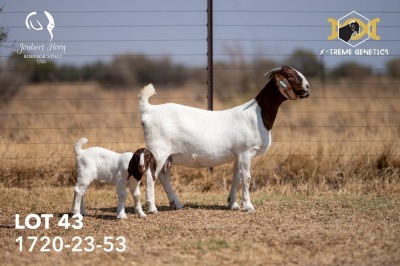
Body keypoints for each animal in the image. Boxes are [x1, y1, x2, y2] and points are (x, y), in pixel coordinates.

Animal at [139, 66, 310, 212]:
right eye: (289, 75)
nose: (307, 88)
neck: (257, 114)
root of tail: (149, 110)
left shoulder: (238, 154)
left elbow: (236, 178)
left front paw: (233, 204)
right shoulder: (246, 151)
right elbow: (246, 178)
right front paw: (248, 206)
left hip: (168, 155)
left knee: (162, 175)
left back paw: (177, 203)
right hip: (159, 150)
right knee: (150, 176)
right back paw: (152, 208)